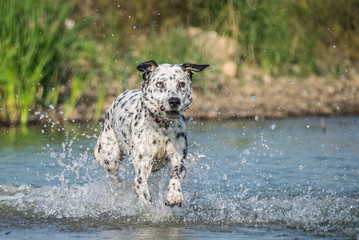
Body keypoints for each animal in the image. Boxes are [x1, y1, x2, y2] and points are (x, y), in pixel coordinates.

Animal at [94, 59, 210, 206]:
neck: (162, 128)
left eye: (182, 84)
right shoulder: (142, 167)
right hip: (108, 157)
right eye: (159, 84)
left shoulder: (178, 156)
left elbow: (177, 174)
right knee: (112, 173)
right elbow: (143, 190)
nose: (174, 101)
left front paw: (174, 195)